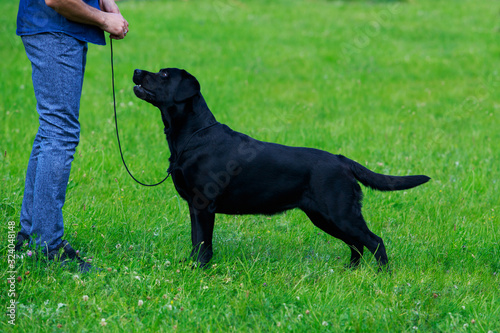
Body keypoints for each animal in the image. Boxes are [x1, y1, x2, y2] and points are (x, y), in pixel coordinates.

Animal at [133, 68, 430, 268]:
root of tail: (342, 160)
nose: (136, 71)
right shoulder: (195, 205)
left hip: (340, 213)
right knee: (357, 243)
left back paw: (383, 275)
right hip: (325, 217)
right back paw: (351, 270)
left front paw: (199, 269)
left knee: (374, 240)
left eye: (163, 74)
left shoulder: (203, 204)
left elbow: (203, 242)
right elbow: (197, 240)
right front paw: (191, 265)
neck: (193, 135)